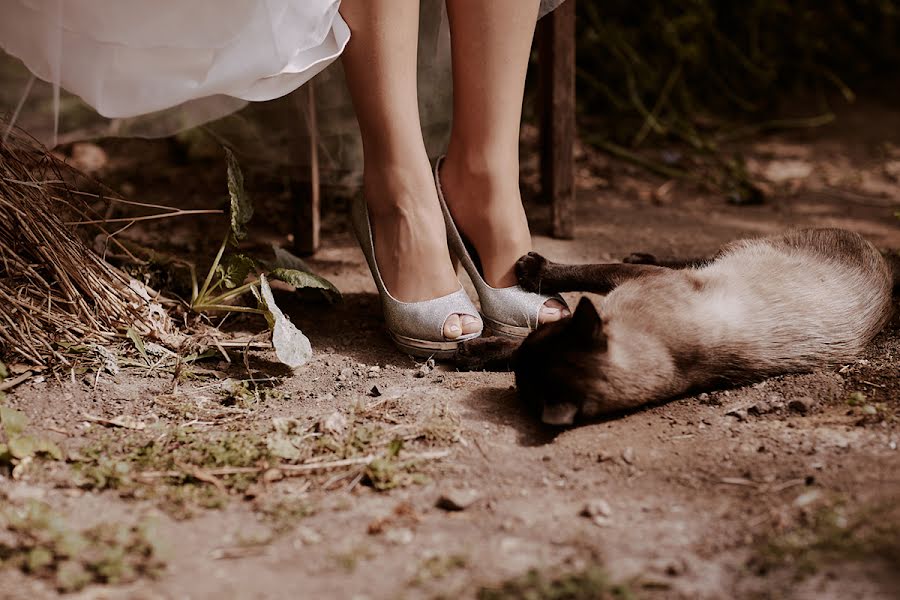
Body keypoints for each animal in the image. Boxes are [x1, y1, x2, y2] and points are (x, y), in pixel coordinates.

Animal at [460, 226, 896, 426]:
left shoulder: (635, 282)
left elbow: (585, 271)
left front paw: (530, 271)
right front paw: (474, 349)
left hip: (732, 251)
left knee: (693, 258)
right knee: (698, 257)